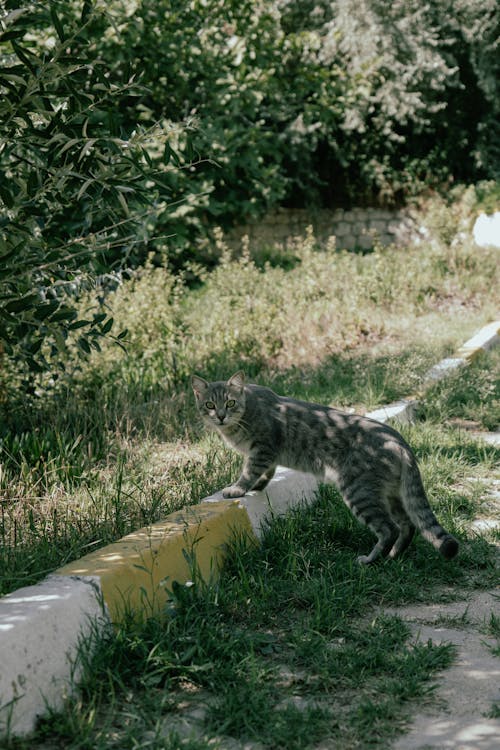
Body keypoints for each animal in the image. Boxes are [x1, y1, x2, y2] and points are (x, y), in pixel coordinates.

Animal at [192, 370, 460, 564]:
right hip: (391, 495)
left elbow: (249, 472)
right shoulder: (268, 455)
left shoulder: (263, 448)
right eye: (209, 405)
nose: (221, 416)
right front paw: (258, 486)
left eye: (230, 402)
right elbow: (266, 472)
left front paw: (237, 489)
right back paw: (394, 555)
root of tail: (400, 441)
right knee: (408, 525)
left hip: (359, 492)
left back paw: (372, 559)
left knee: (389, 529)